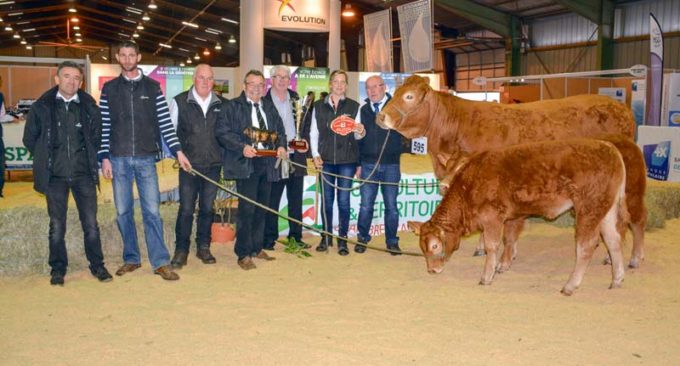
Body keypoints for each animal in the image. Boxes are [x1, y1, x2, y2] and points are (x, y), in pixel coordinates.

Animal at [410, 139, 628, 296]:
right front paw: (502, 265)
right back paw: (617, 279)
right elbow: (509, 239)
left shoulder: (492, 218)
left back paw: (570, 286)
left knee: (586, 246)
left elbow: (492, 246)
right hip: (605, 211)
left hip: (588, 209)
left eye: (435, 246)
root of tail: (609, 147)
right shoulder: (510, 216)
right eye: (422, 248)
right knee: (613, 240)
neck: (470, 184)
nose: (432, 270)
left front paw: (487, 276)